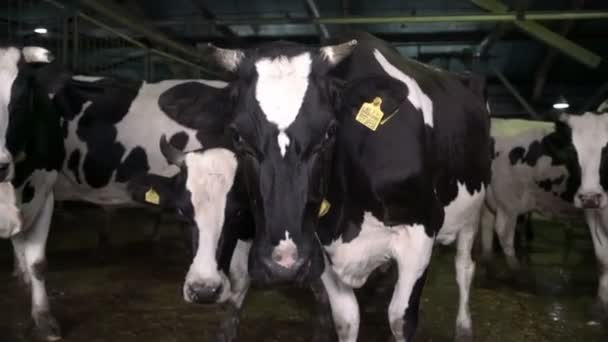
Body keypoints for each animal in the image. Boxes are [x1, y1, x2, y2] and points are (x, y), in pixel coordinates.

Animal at [188, 30, 492, 340]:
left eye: (330, 131)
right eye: (237, 135)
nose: (283, 264)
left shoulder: (422, 226)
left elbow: (400, 319)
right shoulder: (319, 245)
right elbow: (346, 319)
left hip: (472, 209)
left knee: (464, 266)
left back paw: (464, 327)